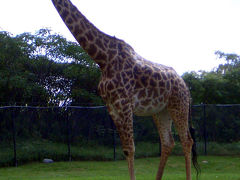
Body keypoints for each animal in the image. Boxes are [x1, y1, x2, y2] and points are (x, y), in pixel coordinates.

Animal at [51, 0, 200, 179]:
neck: (103, 58)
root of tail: (186, 87)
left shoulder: (124, 103)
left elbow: (130, 149)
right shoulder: (112, 106)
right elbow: (125, 150)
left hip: (179, 106)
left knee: (187, 141)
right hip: (161, 111)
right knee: (168, 142)